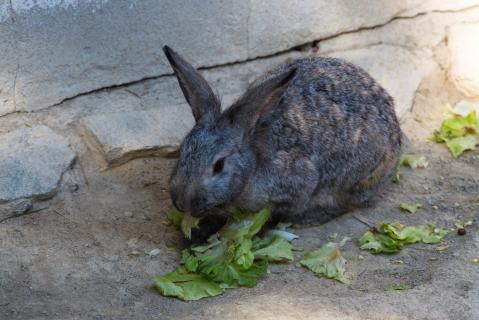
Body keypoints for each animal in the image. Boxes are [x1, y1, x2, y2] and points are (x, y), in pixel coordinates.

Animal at [163, 45, 404, 242]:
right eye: (182, 151)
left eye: (219, 166)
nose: (182, 203)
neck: (252, 163)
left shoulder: (296, 185)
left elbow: (273, 215)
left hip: (357, 178)